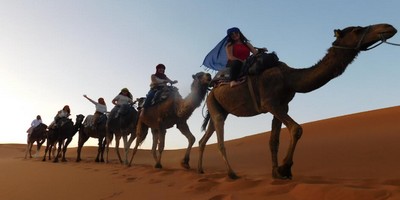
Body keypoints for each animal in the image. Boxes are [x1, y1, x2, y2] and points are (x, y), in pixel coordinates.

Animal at [198, 23, 398, 180]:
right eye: (357, 30)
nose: (389, 27)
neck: (289, 78)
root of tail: (211, 88)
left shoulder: (281, 106)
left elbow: (273, 141)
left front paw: (275, 173)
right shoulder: (270, 103)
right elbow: (297, 129)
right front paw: (284, 169)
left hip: (219, 108)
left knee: (204, 138)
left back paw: (199, 170)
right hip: (215, 106)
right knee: (220, 140)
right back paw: (231, 174)